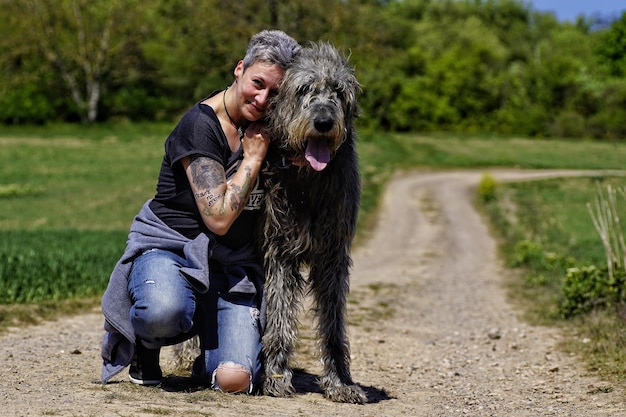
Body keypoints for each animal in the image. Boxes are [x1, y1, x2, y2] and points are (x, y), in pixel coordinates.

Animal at [258, 42, 366, 404]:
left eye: (339, 92)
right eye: (304, 89)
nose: (323, 122)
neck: (308, 182)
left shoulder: (333, 255)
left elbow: (333, 325)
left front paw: (340, 382)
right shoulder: (280, 249)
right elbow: (279, 316)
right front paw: (275, 376)